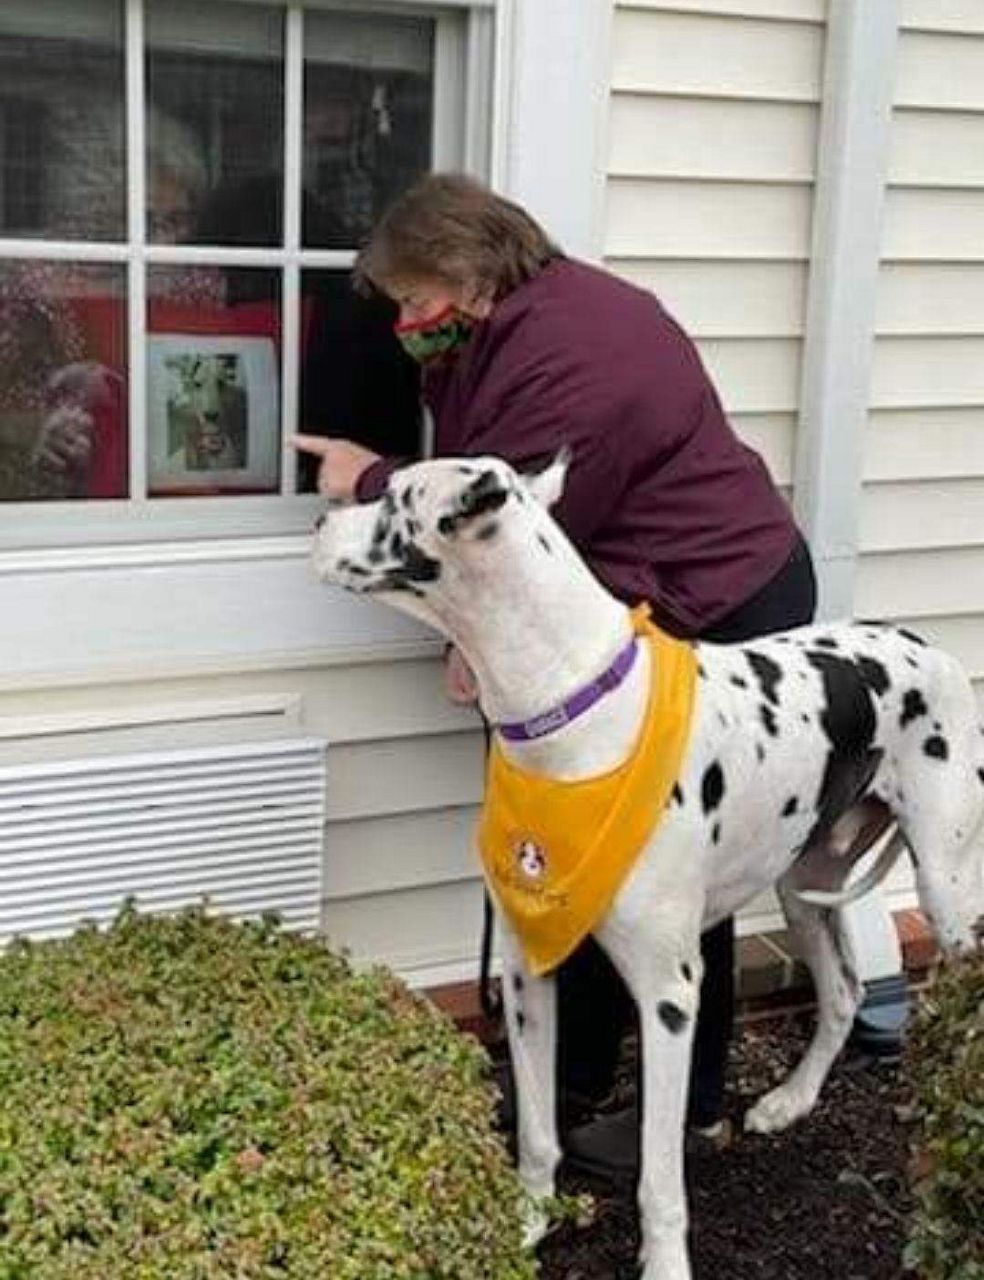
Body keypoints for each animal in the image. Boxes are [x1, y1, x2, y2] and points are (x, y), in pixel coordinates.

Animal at [312, 453, 982, 1280]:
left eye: (392, 498)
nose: (318, 517)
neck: (573, 709)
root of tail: (924, 640)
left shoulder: (669, 999)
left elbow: (659, 1179)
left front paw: (664, 1265)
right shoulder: (526, 973)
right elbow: (538, 1133)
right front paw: (528, 1223)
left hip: (945, 889)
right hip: (802, 884)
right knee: (844, 991)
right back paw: (790, 1100)